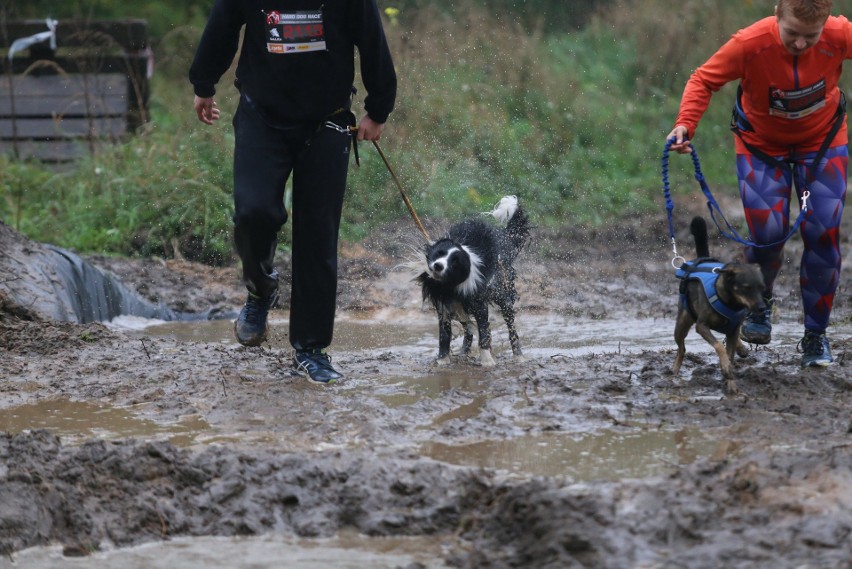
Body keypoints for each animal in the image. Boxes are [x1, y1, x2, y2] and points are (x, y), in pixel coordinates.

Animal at [676, 215, 768, 392]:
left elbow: (730, 353)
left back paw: (741, 348)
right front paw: (725, 367)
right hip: (682, 323)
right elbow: (719, 346)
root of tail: (702, 259)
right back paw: (673, 370)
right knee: (681, 348)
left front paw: (730, 382)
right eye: (746, 288)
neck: (731, 303)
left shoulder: (733, 328)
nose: (762, 308)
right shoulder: (702, 326)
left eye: (762, 288)